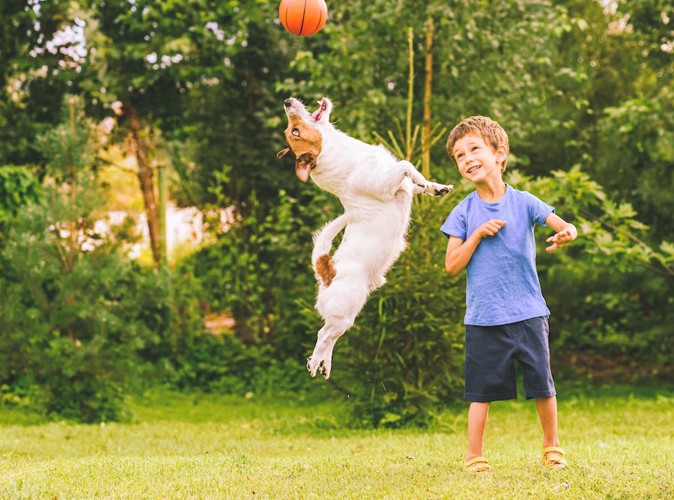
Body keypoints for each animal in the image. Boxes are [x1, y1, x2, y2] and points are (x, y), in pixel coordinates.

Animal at [272, 97, 452, 378]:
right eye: (295, 132)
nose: (287, 101)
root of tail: (327, 272)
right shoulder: (386, 184)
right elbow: (406, 164)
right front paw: (424, 181)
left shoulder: (401, 185)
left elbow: (414, 181)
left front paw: (434, 187)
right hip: (344, 312)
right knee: (322, 335)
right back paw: (313, 363)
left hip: (347, 316)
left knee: (331, 338)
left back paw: (325, 365)